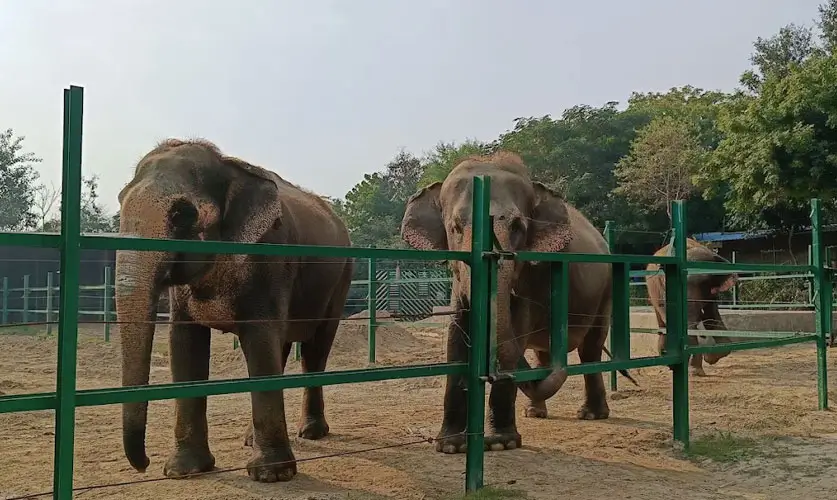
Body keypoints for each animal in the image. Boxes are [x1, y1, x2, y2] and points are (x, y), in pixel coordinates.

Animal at [115, 138, 353, 483]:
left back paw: (310, 432)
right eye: (120, 200)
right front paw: (183, 470)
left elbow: (260, 339)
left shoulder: (269, 259)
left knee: (315, 351)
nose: (144, 463)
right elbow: (184, 346)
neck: (228, 166)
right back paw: (252, 439)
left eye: (181, 213)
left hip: (340, 279)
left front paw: (271, 475)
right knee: (281, 348)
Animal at [400, 151, 622, 454]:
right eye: (455, 228)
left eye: (518, 226)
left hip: (605, 289)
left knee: (591, 348)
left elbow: (514, 332)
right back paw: (535, 412)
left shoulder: (530, 275)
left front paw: (500, 444)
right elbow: (457, 334)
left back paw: (591, 414)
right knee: (545, 352)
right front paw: (450, 446)